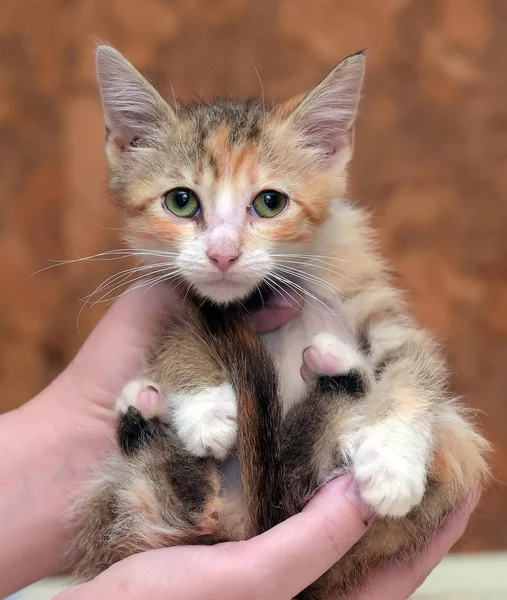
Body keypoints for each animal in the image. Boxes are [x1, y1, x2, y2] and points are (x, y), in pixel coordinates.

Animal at [70, 45, 488, 596]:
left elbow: (414, 361)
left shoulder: (377, 302)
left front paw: (392, 458)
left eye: (270, 203)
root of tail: (243, 524)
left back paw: (337, 380)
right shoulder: (175, 294)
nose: (223, 253)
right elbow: (178, 331)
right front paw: (204, 405)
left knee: (294, 473)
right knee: (198, 502)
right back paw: (147, 417)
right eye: (181, 201)